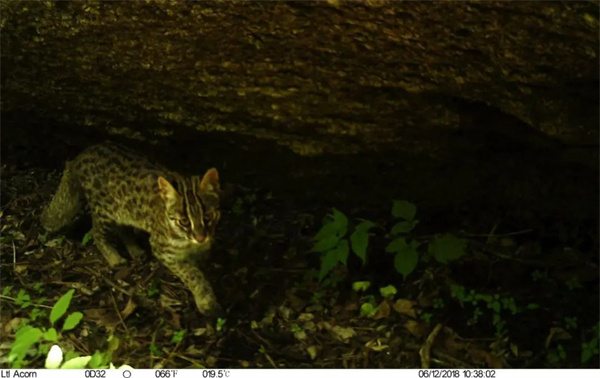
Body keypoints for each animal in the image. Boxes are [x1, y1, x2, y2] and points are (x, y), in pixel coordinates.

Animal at [41, 142, 221, 316]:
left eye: (208, 216)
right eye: (184, 221)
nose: (201, 238)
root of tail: (84, 153)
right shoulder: (163, 249)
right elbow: (191, 273)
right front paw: (206, 300)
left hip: (125, 211)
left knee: (123, 229)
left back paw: (135, 250)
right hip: (104, 211)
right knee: (96, 232)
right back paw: (114, 258)